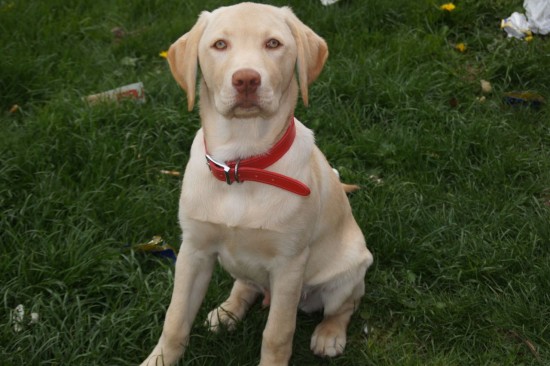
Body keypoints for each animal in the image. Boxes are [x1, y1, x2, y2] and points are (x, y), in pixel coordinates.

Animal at [142, 2, 376, 366]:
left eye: (273, 44)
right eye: (220, 45)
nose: (247, 79)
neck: (242, 165)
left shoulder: (289, 264)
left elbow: (277, 334)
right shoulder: (193, 251)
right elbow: (176, 318)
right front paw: (160, 358)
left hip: (350, 269)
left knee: (344, 306)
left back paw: (329, 334)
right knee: (247, 285)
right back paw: (227, 310)